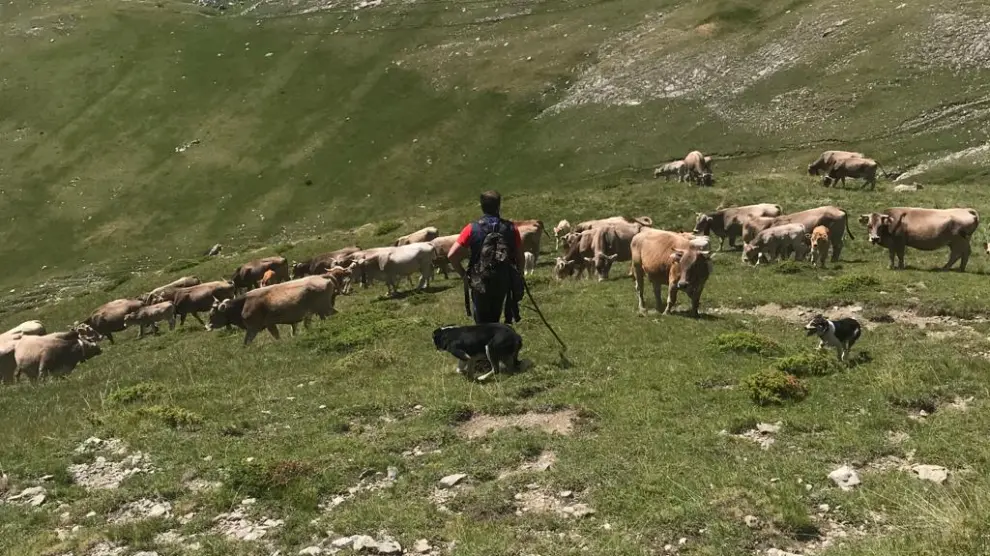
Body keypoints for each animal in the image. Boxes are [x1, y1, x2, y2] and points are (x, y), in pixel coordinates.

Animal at [205, 274, 338, 344]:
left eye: (212, 314)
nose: (207, 326)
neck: (243, 304)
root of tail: (321, 276)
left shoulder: (256, 327)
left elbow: (247, 342)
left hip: (325, 308)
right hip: (321, 311)